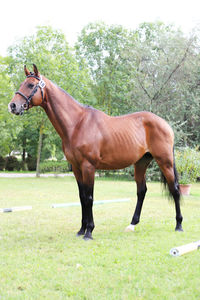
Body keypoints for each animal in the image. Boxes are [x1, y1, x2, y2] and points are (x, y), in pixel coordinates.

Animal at [9, 64, 183, 240]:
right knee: (142, 191)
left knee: (175, 189)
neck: (77, 124)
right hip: (141, 163)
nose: (13, 106)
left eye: (31, 85)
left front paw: (89, 231)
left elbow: (89, 197)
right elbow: (82, 197)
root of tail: (165, 124)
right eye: (22, 83)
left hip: (165, 162)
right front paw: (81, 229)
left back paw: (179, 225)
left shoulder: (88, 167)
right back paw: (132, 224)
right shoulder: (77, 168)